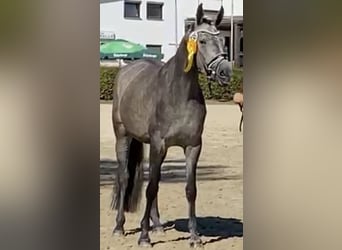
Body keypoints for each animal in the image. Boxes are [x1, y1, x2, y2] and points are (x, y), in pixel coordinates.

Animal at [111, 4, 232, 248]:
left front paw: (194, 237)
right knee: (125, 177)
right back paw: (119, 227)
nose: (225, 71)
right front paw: (143, 236)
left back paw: (157, 225)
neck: (179, 95)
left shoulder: (192, 146)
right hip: (123, 136)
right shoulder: (159, 144)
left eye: (223, 41)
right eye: (202, 41)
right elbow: (151, 188)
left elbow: (190, 189)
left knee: (152, 180)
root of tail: (127, 70)